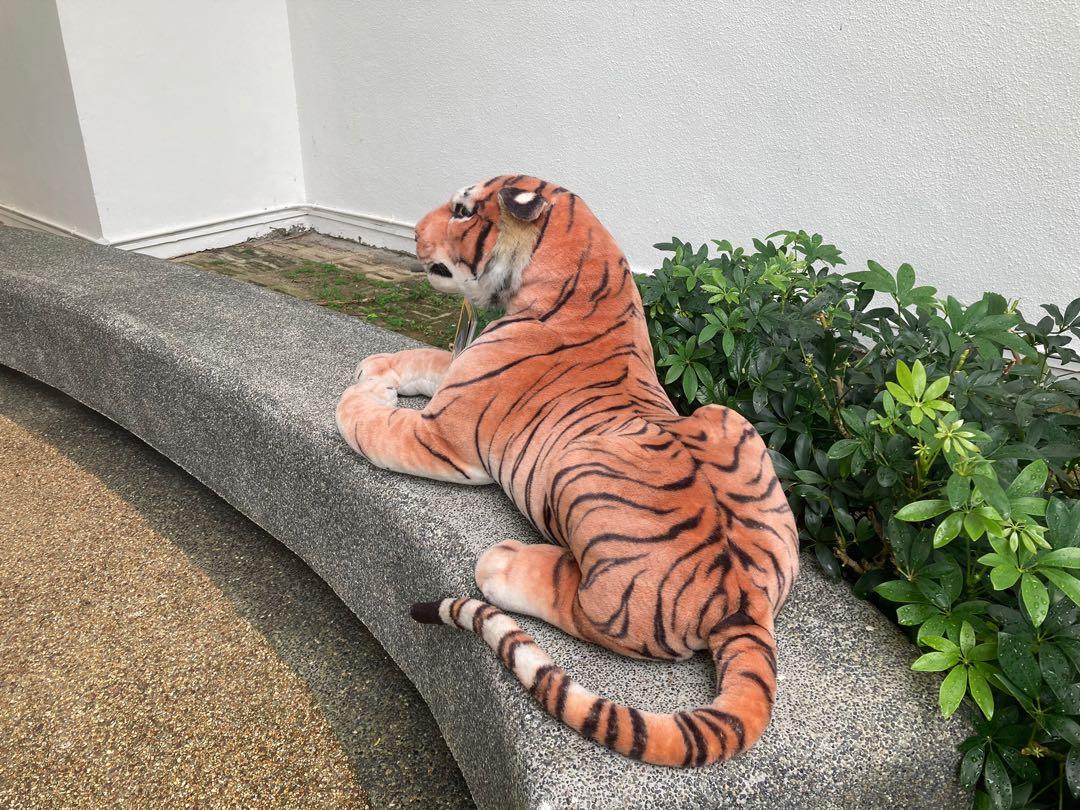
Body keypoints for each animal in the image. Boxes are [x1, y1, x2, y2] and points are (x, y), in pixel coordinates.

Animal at [335, 175, 800, 767]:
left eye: (462, 211)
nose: (413, 232)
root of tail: (745, 600)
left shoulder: (441, 438)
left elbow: (367, 424)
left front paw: (362, 395)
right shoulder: (456, 373)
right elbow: (426, 358)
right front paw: (376, 369)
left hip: (581, 470)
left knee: (583, 610)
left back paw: (505, 562)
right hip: (726, 418)